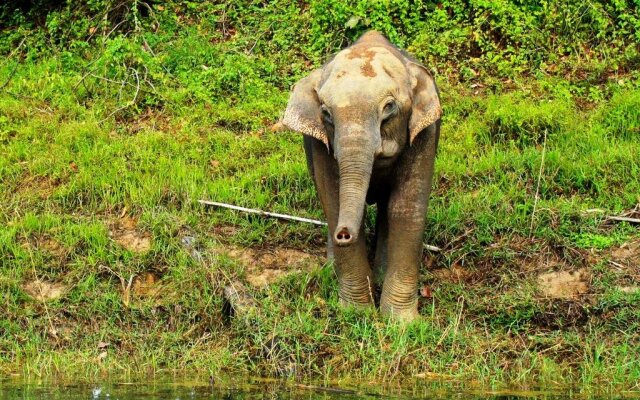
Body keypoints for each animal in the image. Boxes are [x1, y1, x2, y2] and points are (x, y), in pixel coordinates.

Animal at [282, 30, 442, 322]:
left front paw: (401, 323)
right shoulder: (320, 145)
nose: (344, 234)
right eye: (326, 113)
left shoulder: (427, 131)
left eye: (389, 107)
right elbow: (333, 201)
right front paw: (357, 315)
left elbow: (406, 209)